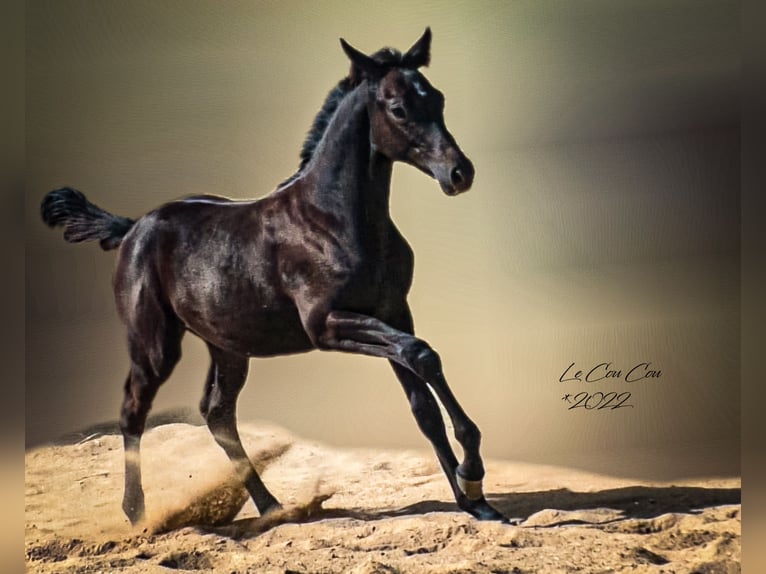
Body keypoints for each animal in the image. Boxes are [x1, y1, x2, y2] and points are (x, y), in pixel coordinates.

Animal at [42, 30, 510, 528]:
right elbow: (422, 355)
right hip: (154, 344)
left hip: (228, 346)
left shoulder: (393, 310)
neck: (334, 219)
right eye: (398, 107)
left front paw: (476, 500)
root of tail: (133, 228)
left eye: (437, 98)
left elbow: (422, 400)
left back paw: (272, 506)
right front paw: (471, 475)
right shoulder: (326, 325)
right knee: (134, 409)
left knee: (217, 412)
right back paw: (138, 516)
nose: (459, 173)